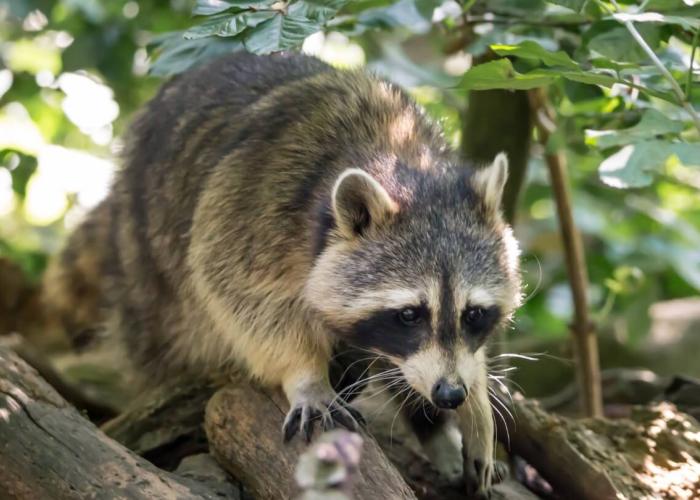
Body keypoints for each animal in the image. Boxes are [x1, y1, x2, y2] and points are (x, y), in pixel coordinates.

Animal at [42, 52, 520, 494]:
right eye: (408, 314)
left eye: (474, 314)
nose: (449, 394)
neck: (401, 162)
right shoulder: (251, 207)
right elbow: (240, 293)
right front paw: (305, 373)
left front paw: (474, 406)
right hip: (146, 265)